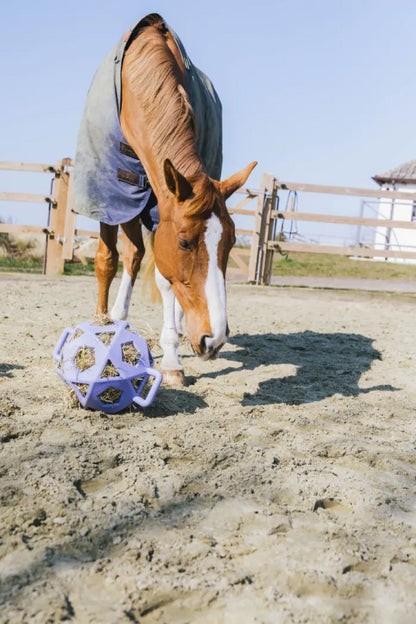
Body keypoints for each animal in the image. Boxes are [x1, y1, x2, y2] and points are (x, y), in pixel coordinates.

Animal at [75, 13, 256, 386]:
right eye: (185, 243)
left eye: (232, 243)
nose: (215, 339)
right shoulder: (109, 199)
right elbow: (105, 261)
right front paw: (99, 329)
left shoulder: (161, 210)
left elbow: (164, 279)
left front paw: (172, 359)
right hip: (129, 208)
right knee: (128, 257)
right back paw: (114, 319)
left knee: (138, 258)